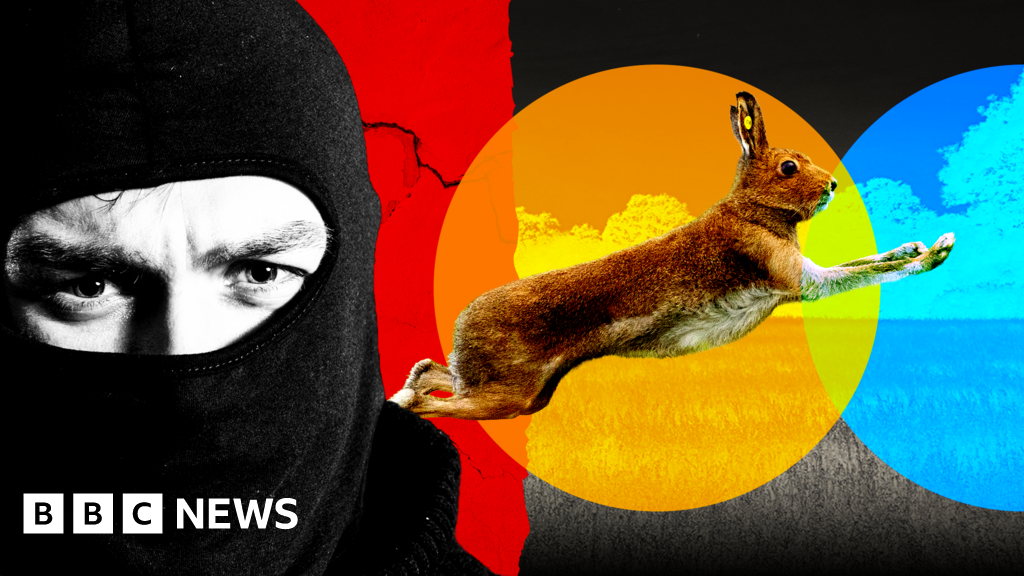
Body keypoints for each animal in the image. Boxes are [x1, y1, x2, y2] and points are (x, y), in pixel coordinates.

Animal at [389, 92, 955, 420]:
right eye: (790, 167)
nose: (832, 186)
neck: (752, 210)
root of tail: (462, 327)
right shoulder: (801, 282)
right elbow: (864, 273)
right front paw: (935, 252)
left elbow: (865, 263)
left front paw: (916, 244)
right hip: (510, 395)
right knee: (430, 403)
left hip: (505, 387)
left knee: (431, 375)